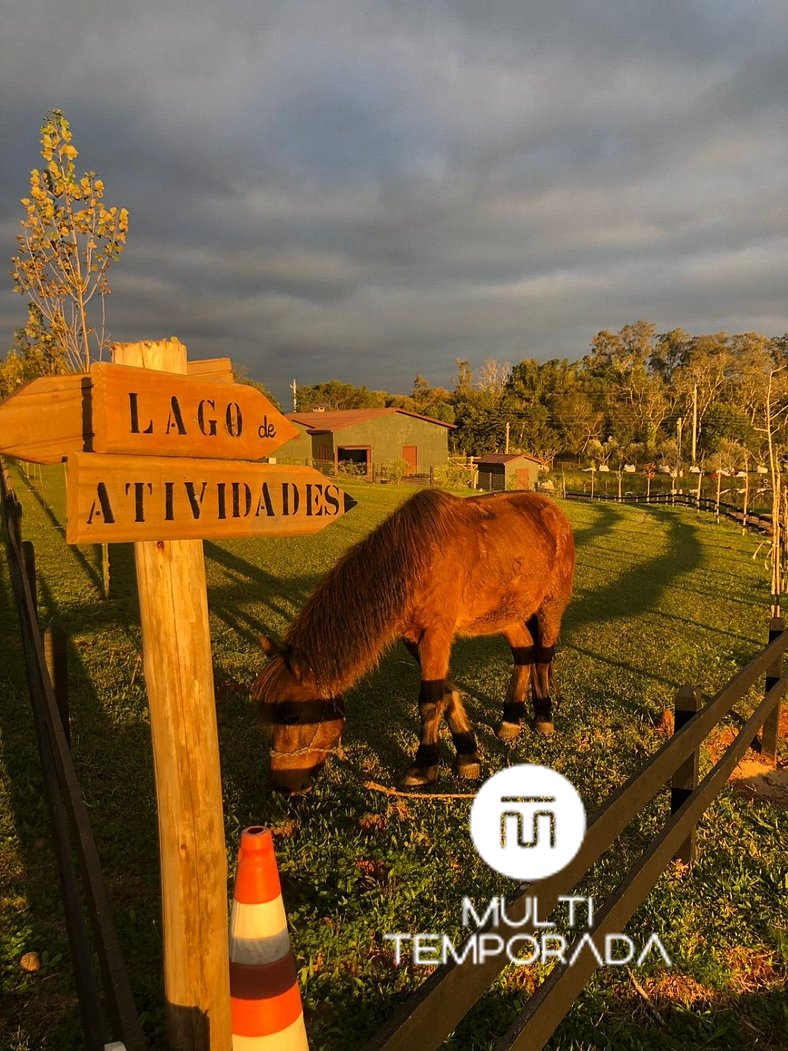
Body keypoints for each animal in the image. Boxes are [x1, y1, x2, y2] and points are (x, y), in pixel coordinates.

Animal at [256, 487, 575, 790]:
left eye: (293, 717)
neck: (415, 558)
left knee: (543, 656)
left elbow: (429, 702)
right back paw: (511, 718)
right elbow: (444, 693)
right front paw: (467, 754)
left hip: (550, 605)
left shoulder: (436, 633)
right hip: (505, 613)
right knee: (524, 652)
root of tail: (553, 511)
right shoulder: (413, 637)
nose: (285, 786)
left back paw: (543, 716)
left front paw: (423, 766)